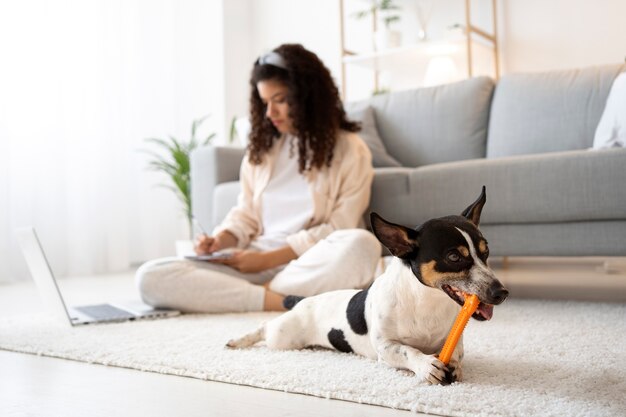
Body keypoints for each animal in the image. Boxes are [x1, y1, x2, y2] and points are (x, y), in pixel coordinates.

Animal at [227, 187, 504, 386]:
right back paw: (239, 340)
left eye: (486, 251)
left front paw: (454, 364)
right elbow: (408, 351)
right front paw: (426, 365)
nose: (501, 293)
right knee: (265, 326)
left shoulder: (453, 339)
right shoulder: (386, 348)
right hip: (284, 337)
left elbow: (456, 352)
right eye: (454, 257)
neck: (425, 301)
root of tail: (304, 300)